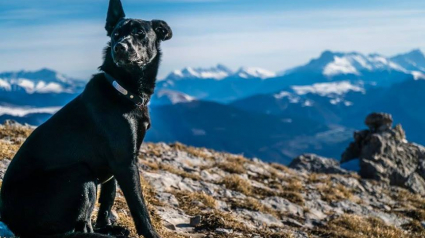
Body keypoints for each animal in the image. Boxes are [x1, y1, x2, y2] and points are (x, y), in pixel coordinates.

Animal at [2, 0, 171, 237]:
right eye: (116, 34)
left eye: (140, 33)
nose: (119, 47)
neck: (122, 89)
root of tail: (7, 218)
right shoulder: (125, 162)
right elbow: (139, 207)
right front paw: (150, 233)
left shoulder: (116, 165)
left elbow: (108, 197)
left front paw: (106, 225)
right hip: (81, 174)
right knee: (73, 230)